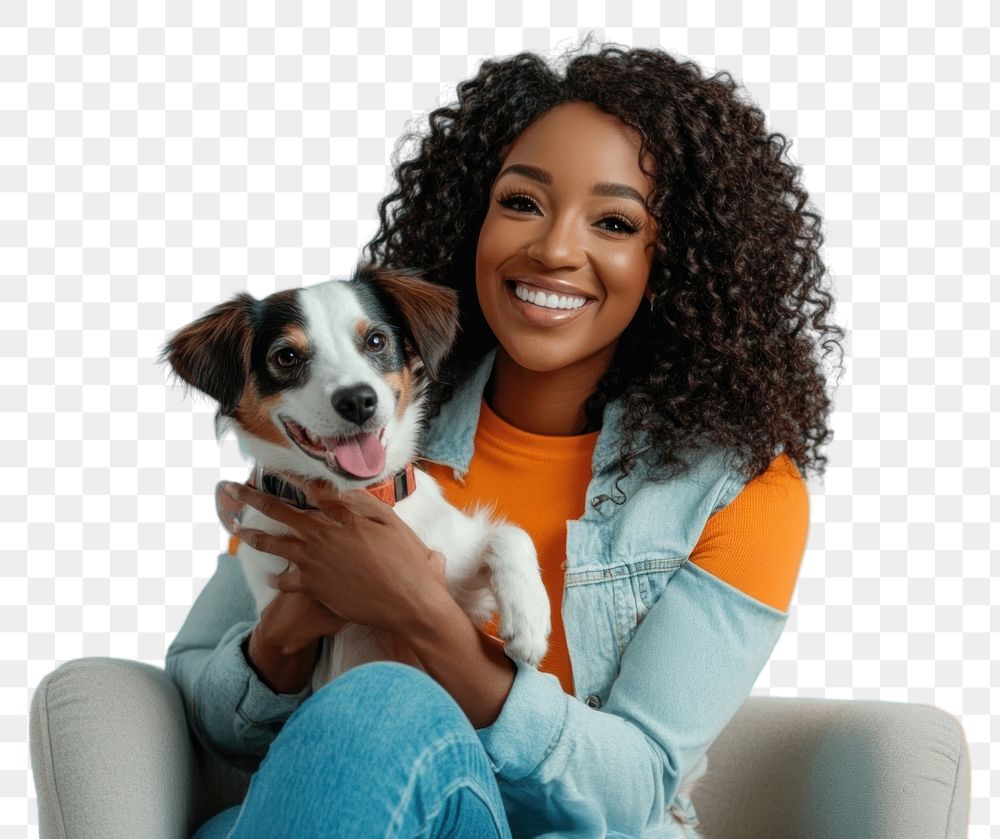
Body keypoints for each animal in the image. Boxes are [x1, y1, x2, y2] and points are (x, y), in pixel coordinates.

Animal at [165, 266, 556, 692]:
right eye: (286, 356)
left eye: (376, 340)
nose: (357, 401)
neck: (357, 500)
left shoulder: (454, 581)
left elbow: (510, 534)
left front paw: (529, 623)